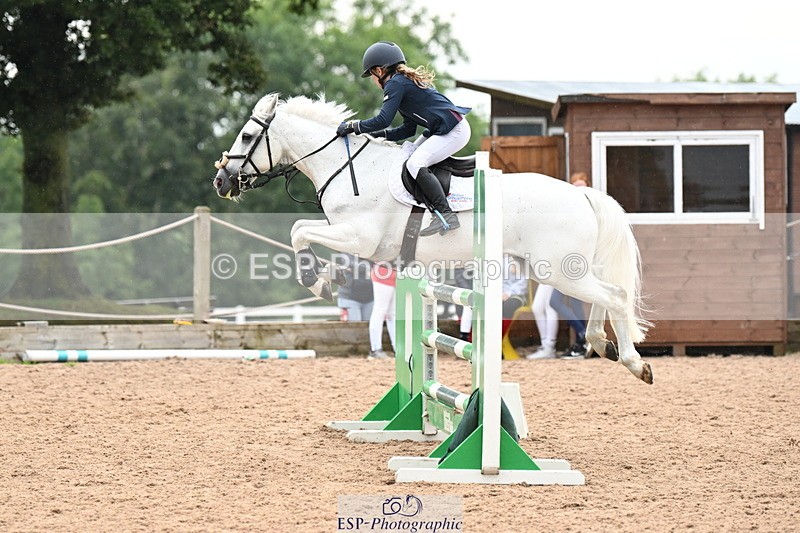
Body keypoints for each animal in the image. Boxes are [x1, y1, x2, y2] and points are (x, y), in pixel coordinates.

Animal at [211, 93, 653, 385]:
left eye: (247, 136)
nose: (222, 181)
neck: (348, 166)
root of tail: (582, 193)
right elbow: (299, 230)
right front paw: (324, 278)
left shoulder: (358, 238)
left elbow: (299, 231)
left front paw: (316, 281)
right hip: (554, 269)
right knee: (606, 295)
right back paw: (603, 345)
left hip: (559, 271)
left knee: (614, 296)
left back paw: (635, 364)